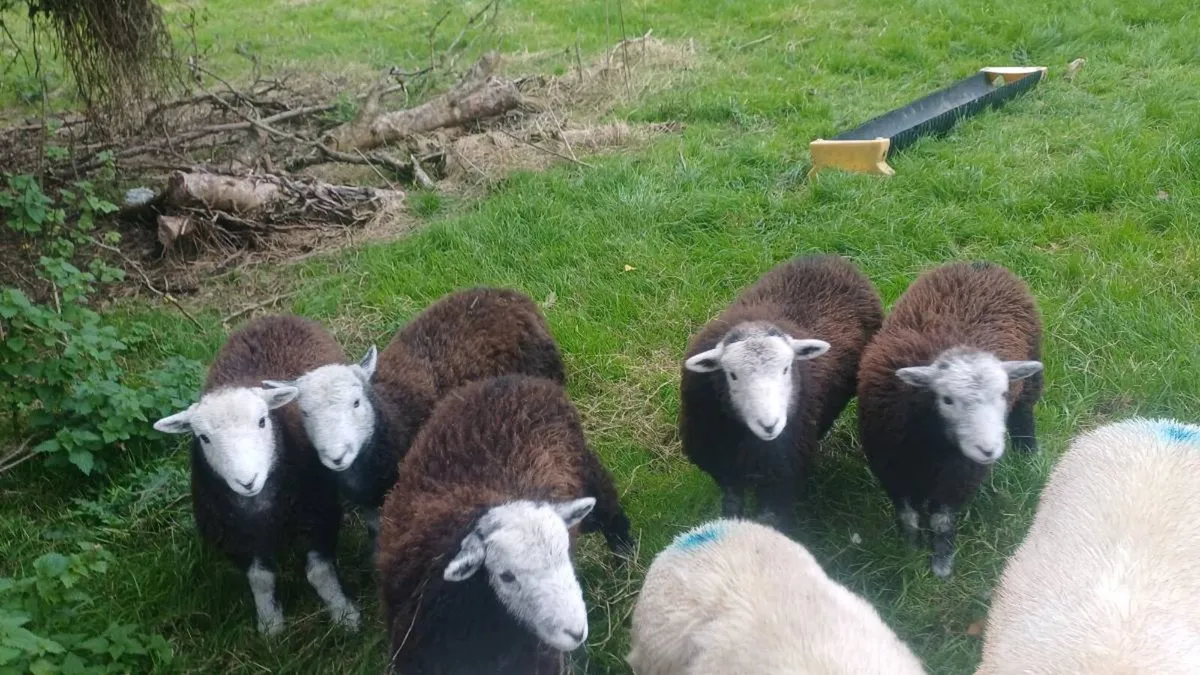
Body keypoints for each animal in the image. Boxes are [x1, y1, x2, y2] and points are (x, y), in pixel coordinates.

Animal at [153, 315, 359, 636]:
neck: (260, 508)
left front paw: (343, 613)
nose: (246, 480)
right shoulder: (234, 537)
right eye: (203, 438)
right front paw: (270, 624)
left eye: (263, 421)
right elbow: (260, 580)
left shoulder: (321, 515)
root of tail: (270, 317)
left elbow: (320, 573)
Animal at [377, 374, 633, 675]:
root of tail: (510, 380)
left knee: (612, 514)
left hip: (589, 472)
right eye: (506, 576)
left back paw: (626, 558)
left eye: (567, 555)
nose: (576, 632)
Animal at [679, 254, 883, 531]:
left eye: (787, 368)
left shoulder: (780, 477)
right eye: (732, 374)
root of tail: (826, 257)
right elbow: (732, 507)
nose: (769, 425)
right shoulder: (724, 467)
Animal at [856, 261, 1044, 578]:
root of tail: (980, 264)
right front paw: (911, 549)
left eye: (1003, 393)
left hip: (1031, 378)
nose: (988, 450)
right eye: (946, 399)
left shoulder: (959, 477)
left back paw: (1028, 452)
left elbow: (941, 521)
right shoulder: (891, 468)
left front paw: (941, 564)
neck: (932, 446)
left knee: (1024, 415)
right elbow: (908, 516)